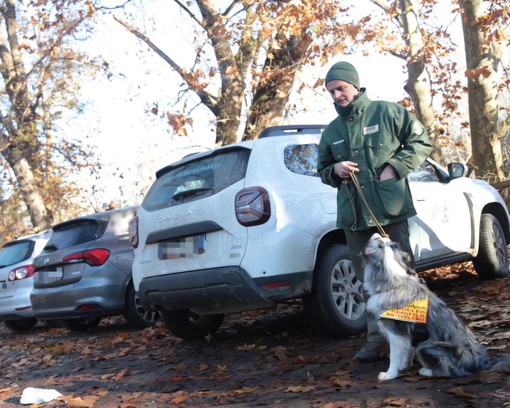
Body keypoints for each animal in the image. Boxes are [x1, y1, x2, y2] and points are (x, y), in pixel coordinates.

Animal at [360, 234, 508, 380]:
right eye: (385, 240)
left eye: (378, 239)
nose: (378, 233)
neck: (394, 283)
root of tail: (482, 362)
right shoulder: (405, 336)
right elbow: (407, 352)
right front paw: (404, 366)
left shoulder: (395, 331)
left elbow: (394, 356)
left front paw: (390, 374)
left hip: (426, 346)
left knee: (453, 371)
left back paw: (427, 371)